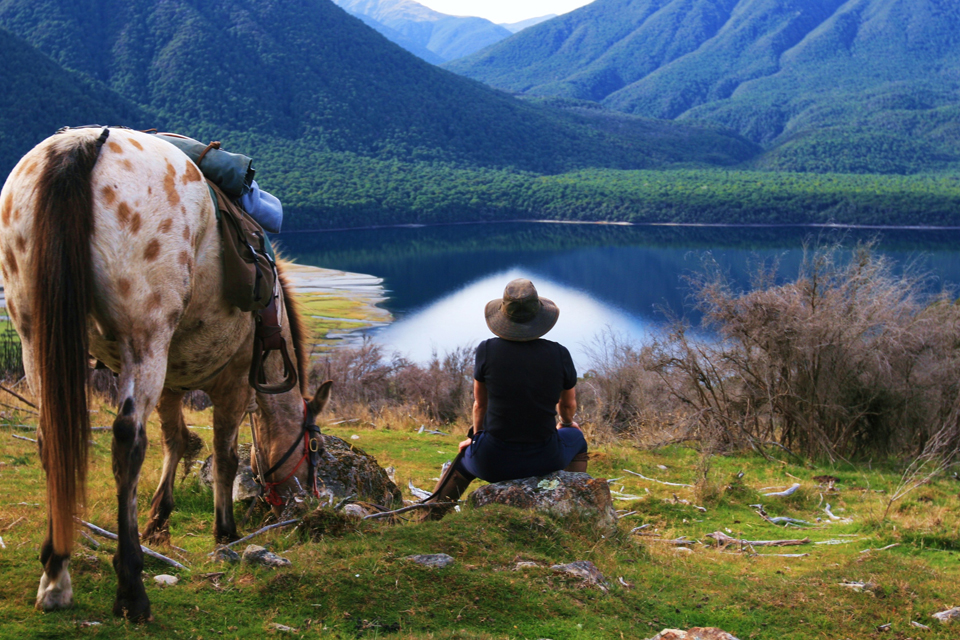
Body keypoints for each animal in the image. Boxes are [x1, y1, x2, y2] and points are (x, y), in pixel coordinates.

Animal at [0, 127, 332, 624]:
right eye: (317, 449)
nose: (306, 504)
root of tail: (84, 143)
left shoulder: (172, 382)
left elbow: (176, 440)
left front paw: (159, 518)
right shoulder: (234, 382)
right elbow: (224, 455)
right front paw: (225, 531)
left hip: (33, 337)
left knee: (51, 439)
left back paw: (56, 575)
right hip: (145, 338)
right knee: (127, 442)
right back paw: (131, 590)